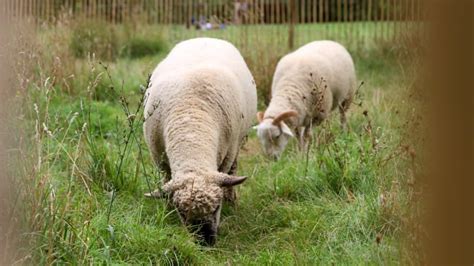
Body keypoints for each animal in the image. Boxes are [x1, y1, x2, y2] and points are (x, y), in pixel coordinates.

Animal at [143, 37, 258, 245]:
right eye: (181, 213)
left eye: (217, 207)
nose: (205, 243)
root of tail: (205, 38)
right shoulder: (160, 160)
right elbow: (166, 181)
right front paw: (167, 208)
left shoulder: (226, 155)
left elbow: (226, 172)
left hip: (237, 143)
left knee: (233, 170)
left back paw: (233, 200)